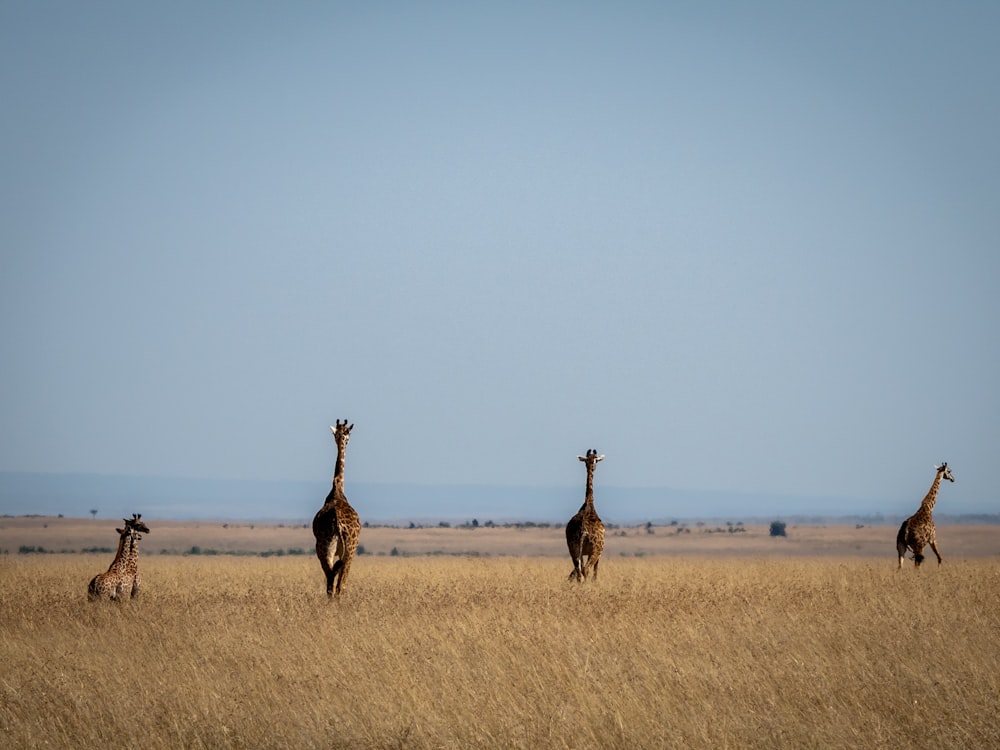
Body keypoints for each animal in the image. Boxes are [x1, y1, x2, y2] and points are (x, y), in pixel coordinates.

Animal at [312, 420, 364, 596]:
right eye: (349, 435)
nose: (345, 441)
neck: (337, 489)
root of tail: (338, 525)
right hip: (348, 551)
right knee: (339, 585)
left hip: (326, 549)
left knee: (330, 580)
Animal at [568, 450, 604, 584]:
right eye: (596, 460)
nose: (593, 467)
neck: (589, 504)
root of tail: (583, 531)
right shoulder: (598, 553)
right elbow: (595, 573)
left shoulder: (581, 552)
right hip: (595, 551)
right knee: (586, 570)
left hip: (573, 549)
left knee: (578, 571)